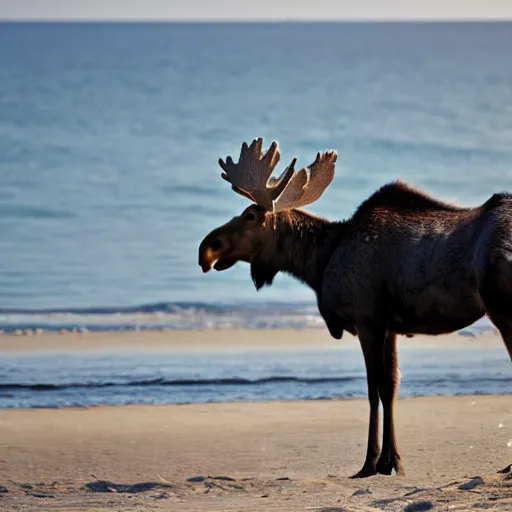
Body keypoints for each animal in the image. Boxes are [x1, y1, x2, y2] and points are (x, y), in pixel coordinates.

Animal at [197, 138, 512, 478]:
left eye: (250, 216)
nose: (207, 249)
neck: (320, 263)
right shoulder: (389, 326)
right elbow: (391, 387)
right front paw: (392, 461)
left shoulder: (367, 320)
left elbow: (374, 388)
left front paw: (370, 463)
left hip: (501, 309)